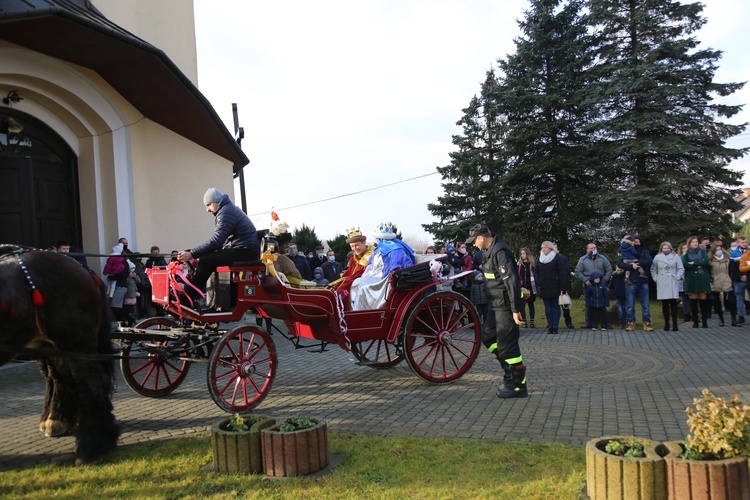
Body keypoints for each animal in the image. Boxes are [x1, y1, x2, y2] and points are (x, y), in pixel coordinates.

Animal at [0, 246, 119, 464]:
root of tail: (79, 265)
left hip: (75, 342)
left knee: (91, 383)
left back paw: (93, 448)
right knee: (60, 377)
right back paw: (58, 421)